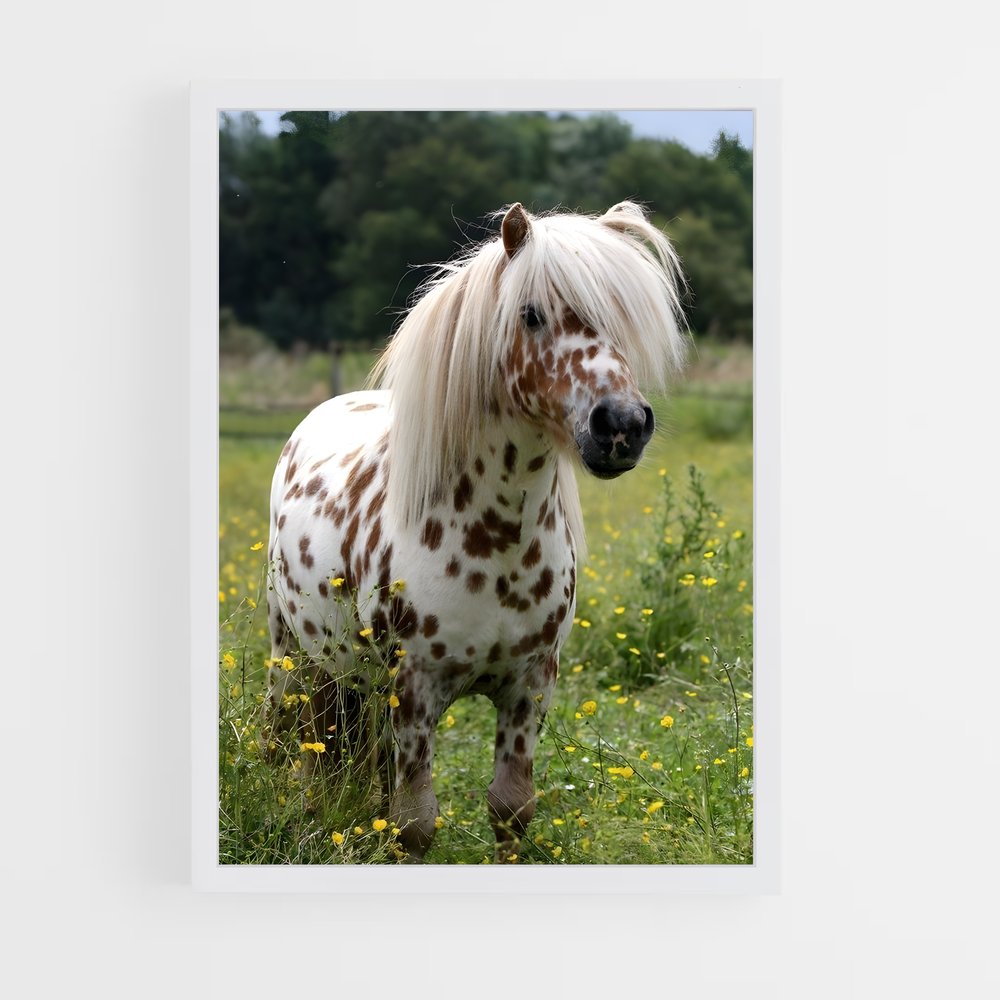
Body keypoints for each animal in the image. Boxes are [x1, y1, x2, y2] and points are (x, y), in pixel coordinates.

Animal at [262, 201, 687, 861]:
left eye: (624, 316)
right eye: (531, 314)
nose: (621, 425)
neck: (494, 541)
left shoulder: (529, 687)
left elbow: (511, 808)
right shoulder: (413, 690)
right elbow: (413, 823)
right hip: (296, 656)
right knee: (303, 741)